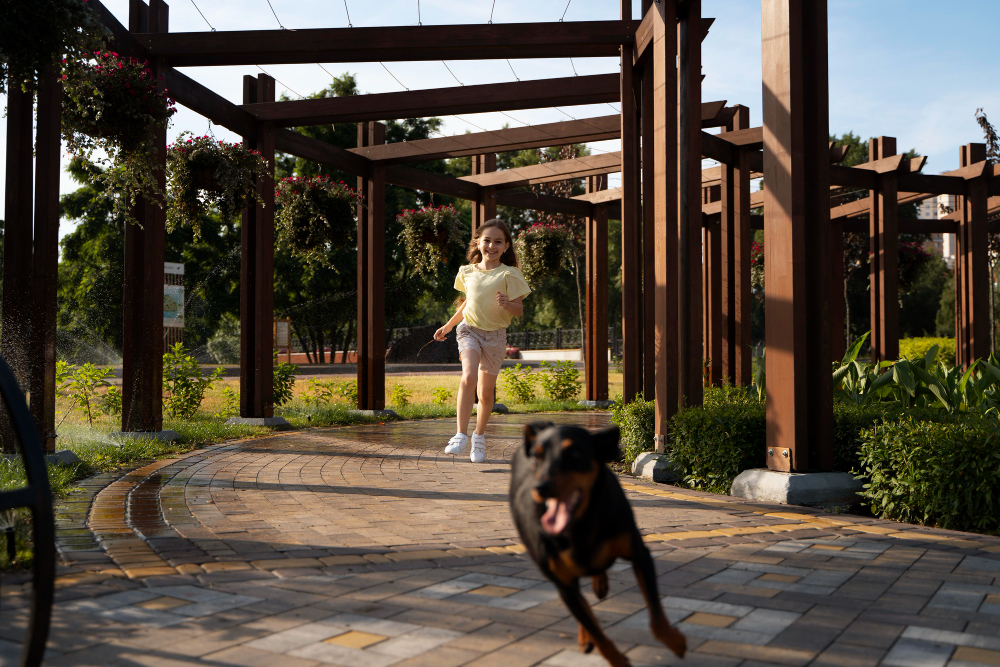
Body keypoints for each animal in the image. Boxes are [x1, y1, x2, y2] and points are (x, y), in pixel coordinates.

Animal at [512, 426, 684, 664]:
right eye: (537, 457)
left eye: (574, 454)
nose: (541, 487)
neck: (581, 525)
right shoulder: (564, 584)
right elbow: (596, 632)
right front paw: (618, 660)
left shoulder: (640, 555)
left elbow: (657, 616)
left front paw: (675, 642)